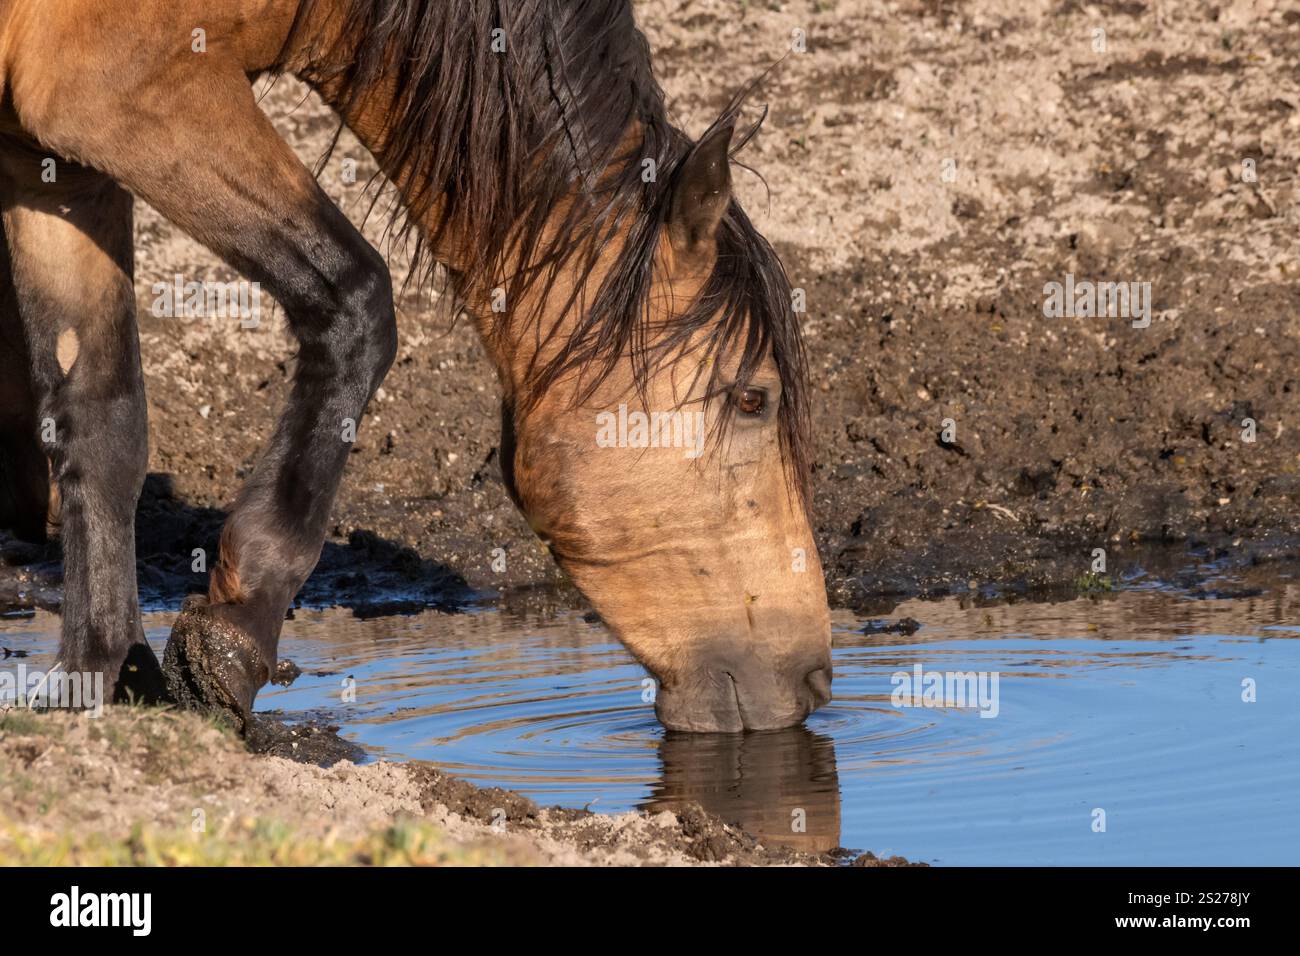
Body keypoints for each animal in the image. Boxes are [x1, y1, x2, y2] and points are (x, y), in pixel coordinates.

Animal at [0, 0, 832, 733]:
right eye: (752, 398)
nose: (817, 681)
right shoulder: (120, 97)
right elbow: (355, 300)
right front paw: (234, 635)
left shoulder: (55, 160)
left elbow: (101, 419)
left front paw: (101, 677)